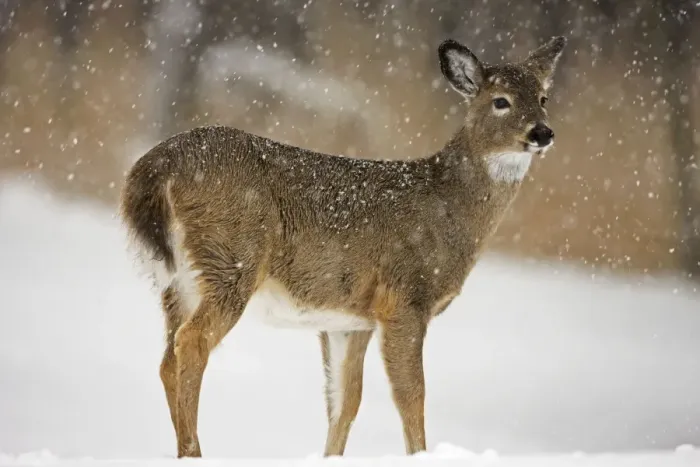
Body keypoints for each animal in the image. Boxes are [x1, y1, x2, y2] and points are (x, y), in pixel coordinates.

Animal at [119, 35, 566, 458]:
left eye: (543, 98)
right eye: (501, 101)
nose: (542, 132)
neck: (445, 206)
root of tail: (156, 166)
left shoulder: (350, 319)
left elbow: (345, 401)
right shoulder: (405, 298)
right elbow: (411, 395)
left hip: (178, 279)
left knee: (167, 359)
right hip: (231, 257)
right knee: (191, 343)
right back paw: (195, 452)